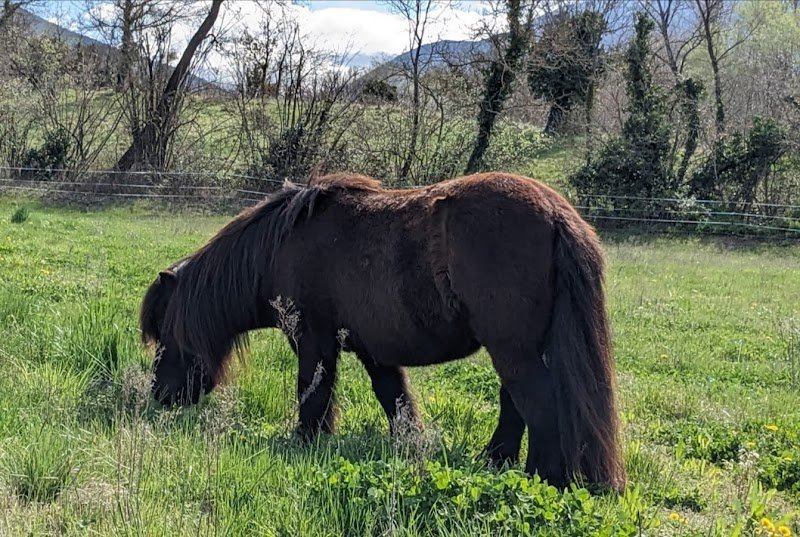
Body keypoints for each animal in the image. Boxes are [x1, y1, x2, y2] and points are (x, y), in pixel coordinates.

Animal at [139, 172, 625, 490]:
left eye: (165, 335)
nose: (160, 396)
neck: (280, 248)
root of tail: (556, 212)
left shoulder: (312, 341)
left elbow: (312, 392)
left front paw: (306, 440)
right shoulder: (374, 352)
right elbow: (394, 399)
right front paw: (412, 446)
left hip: (513, 350)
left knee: (538, 405)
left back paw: (543, 479)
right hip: (516, 351)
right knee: (515, 405)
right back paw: (495, 462)